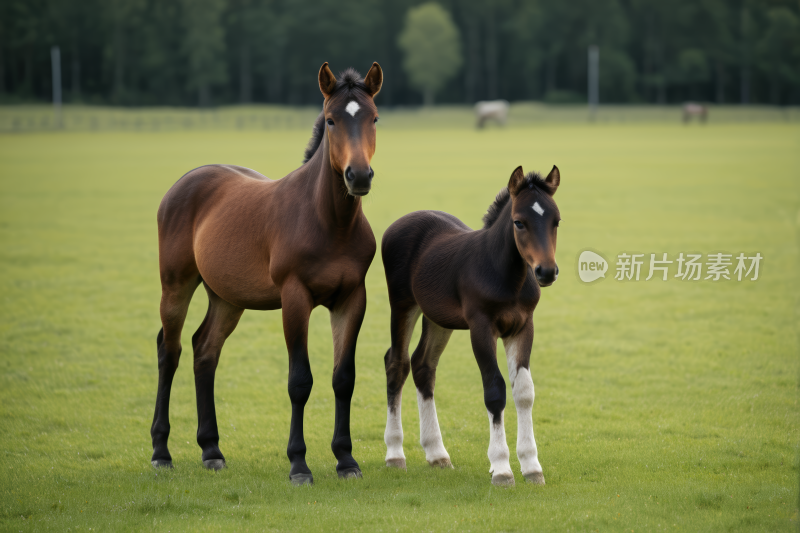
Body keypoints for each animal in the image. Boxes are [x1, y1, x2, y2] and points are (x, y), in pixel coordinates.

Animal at [152, 60, 384, 484]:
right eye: (331, 120)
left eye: (373, 117)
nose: (358, 176)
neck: (330, 223)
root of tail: (184, 182)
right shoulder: (295, 298)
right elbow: (300, 381)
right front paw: (299, 464)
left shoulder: (351, 299)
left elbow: (344, 378)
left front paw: (346, 460)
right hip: (175, 285)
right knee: (169, 350)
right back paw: (161, 451)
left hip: (227, 298)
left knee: (204, 350)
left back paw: (211, 450)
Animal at [382, 164, 560, 484]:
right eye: (519, 222)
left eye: (556, 221)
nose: (546, 271)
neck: (506, 276)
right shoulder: (481, 327)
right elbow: (495, 389)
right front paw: (501, 468)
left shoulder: (523, 327)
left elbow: (524, 391)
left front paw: (531, 466)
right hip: (402, 305)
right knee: (397, 363)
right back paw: (394, 453)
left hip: (438, 318)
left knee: (423, 365)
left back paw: (437, 454)